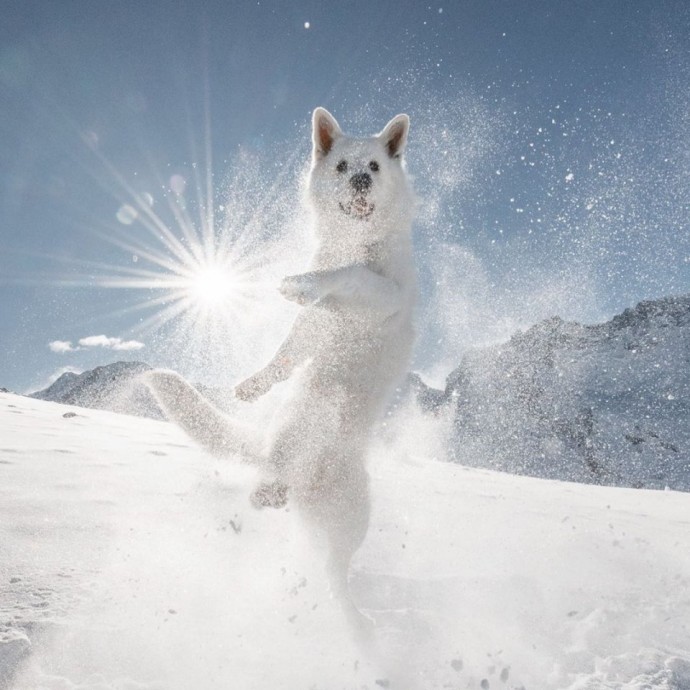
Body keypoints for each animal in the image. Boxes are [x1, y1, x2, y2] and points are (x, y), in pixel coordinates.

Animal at [144, 109, 414, 620]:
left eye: (374, 164)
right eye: (343, 167)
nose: (363, 180)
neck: (355, 243)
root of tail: (301, 480)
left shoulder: (384, 295)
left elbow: (348, 275)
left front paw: (305, 283)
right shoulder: (315, 328)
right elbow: (287, 351)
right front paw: (253, 385)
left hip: (351, 515)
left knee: (334, 572)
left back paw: (357, 620)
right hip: (299, 433)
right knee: (276, 491)